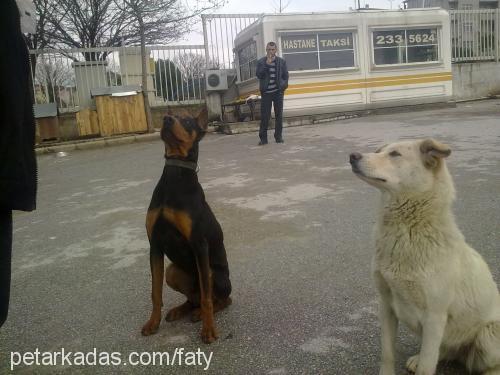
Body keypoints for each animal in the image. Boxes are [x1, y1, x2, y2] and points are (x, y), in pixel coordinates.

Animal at [350, 140, 498, 375]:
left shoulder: (434, 318)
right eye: (378, 151)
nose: (352, 156)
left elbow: (428, 366)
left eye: (394, 154)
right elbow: (387, 354)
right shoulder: (386, 305)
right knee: (445, 351)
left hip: (488, 335)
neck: (407, 230)